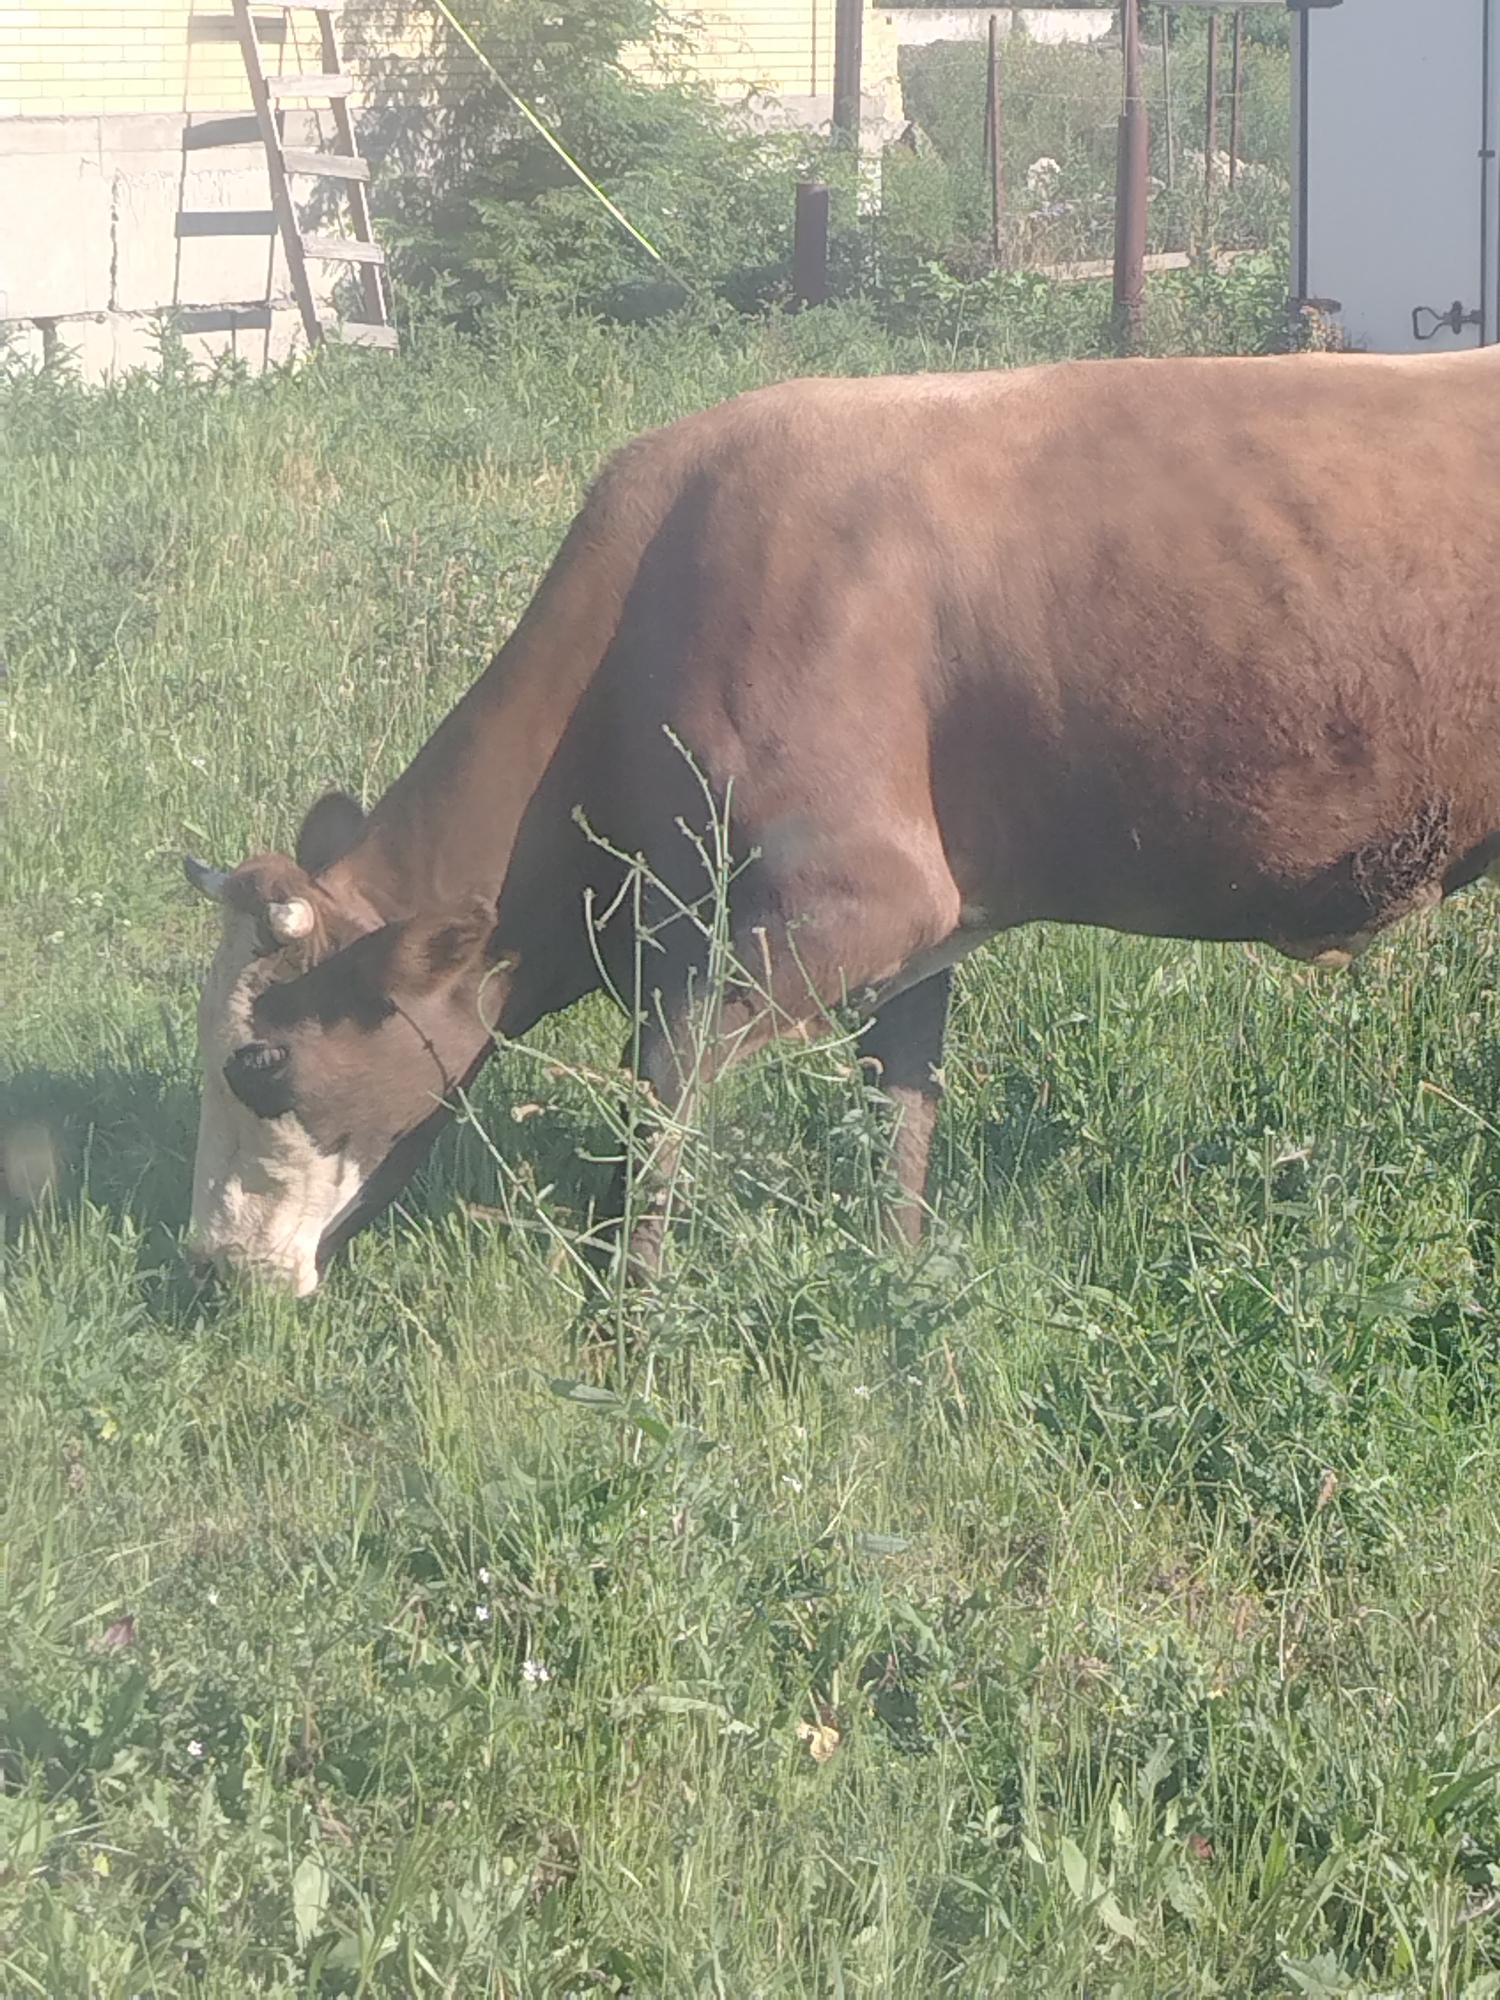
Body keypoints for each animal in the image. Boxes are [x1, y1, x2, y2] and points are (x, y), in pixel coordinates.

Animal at [186, 347, 1500, 1295]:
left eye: (261, 1061)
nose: (211, 1263)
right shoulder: (926, 928)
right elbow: (897, 1121)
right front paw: (898, 1295)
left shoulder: (858, 898)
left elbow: (657, 1094)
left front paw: (622, 1308)